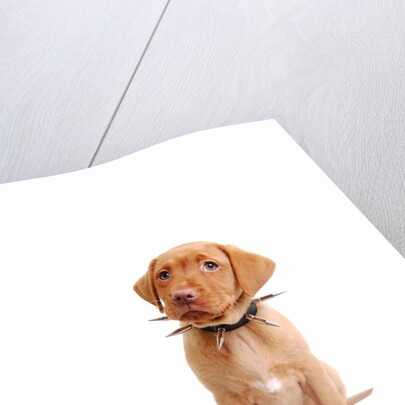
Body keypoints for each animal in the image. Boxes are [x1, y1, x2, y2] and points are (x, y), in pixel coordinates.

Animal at [134, 241, 370, 402]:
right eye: (164, 275)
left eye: (210, 265)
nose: (182, 295)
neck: (233, 331)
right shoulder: (226, 395)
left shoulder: (311, 371)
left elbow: (330, 399)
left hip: (328, 370)